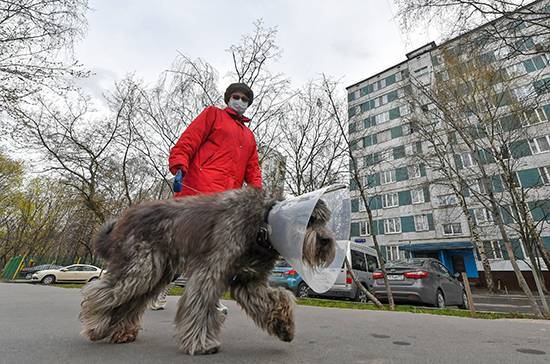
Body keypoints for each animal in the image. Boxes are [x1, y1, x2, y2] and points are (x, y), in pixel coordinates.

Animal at [77, 188, 336, 356]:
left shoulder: (248, 280)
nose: (326, 241)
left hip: (155, 273)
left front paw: (284, 326)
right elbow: (199, 305)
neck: (263, 225)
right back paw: (95, 326)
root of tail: (127, 217)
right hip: (141, 268)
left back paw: (122, 332)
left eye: (323, 220)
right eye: (309, 220)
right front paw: (201, 344)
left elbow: (276, 298)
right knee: (101, 291)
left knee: (131, 301)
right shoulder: (210, 271)